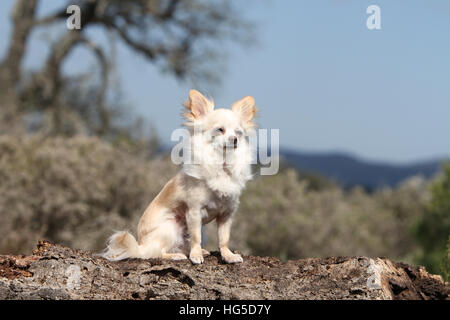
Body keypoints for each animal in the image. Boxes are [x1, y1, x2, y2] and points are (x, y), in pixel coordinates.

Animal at [103, 89, 256, 262]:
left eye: (238, 133)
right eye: (220, 130)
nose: (234, 139)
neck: (222, 165)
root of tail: (141, 245)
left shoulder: (226, 214)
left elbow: (224, 238)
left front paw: (228, 255)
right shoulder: (194, 212)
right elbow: (197, 237)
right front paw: (196, 255)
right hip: (171, 226)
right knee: (155, 252)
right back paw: (176, 255)